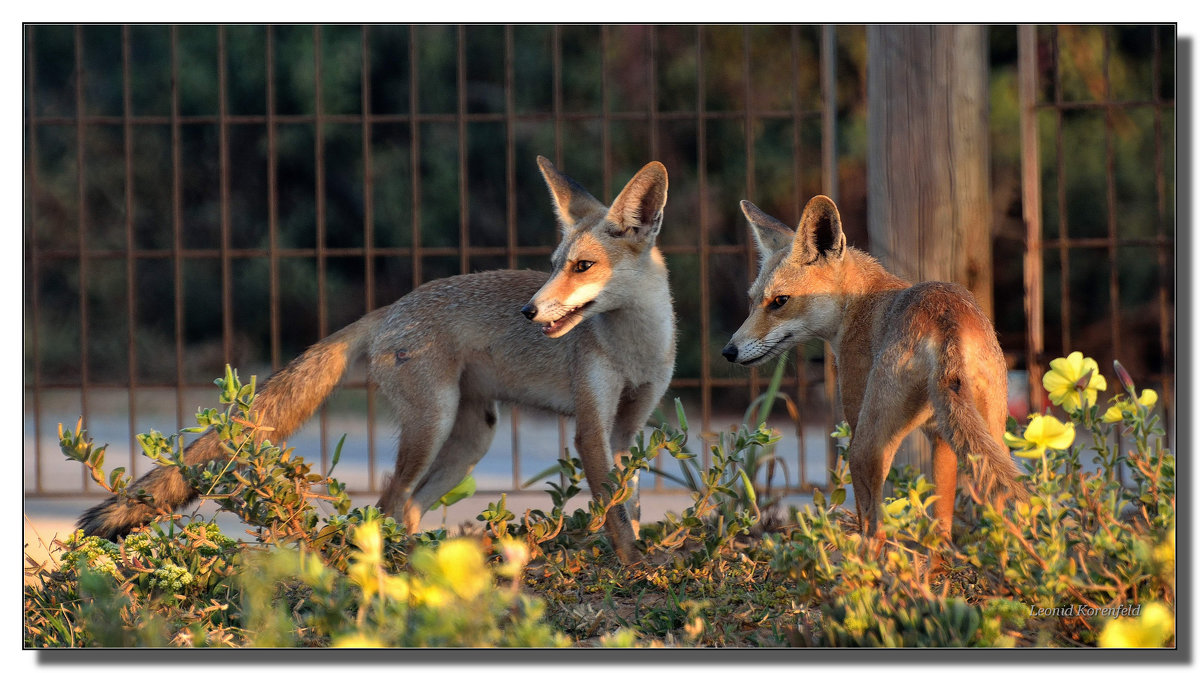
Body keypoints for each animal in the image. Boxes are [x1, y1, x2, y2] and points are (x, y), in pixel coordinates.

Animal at [77, 157, 676, 561]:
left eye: (582, 266)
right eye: (554, 264)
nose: (528, 310)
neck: (636, 350)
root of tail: (393, 305)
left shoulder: (628, 426)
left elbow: (630, 504)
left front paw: (641, 558)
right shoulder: (590, 426)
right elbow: (615, 512)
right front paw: (632, 567)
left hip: (471, 439)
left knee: (406, 508)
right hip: (434, 425)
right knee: (388, 504)